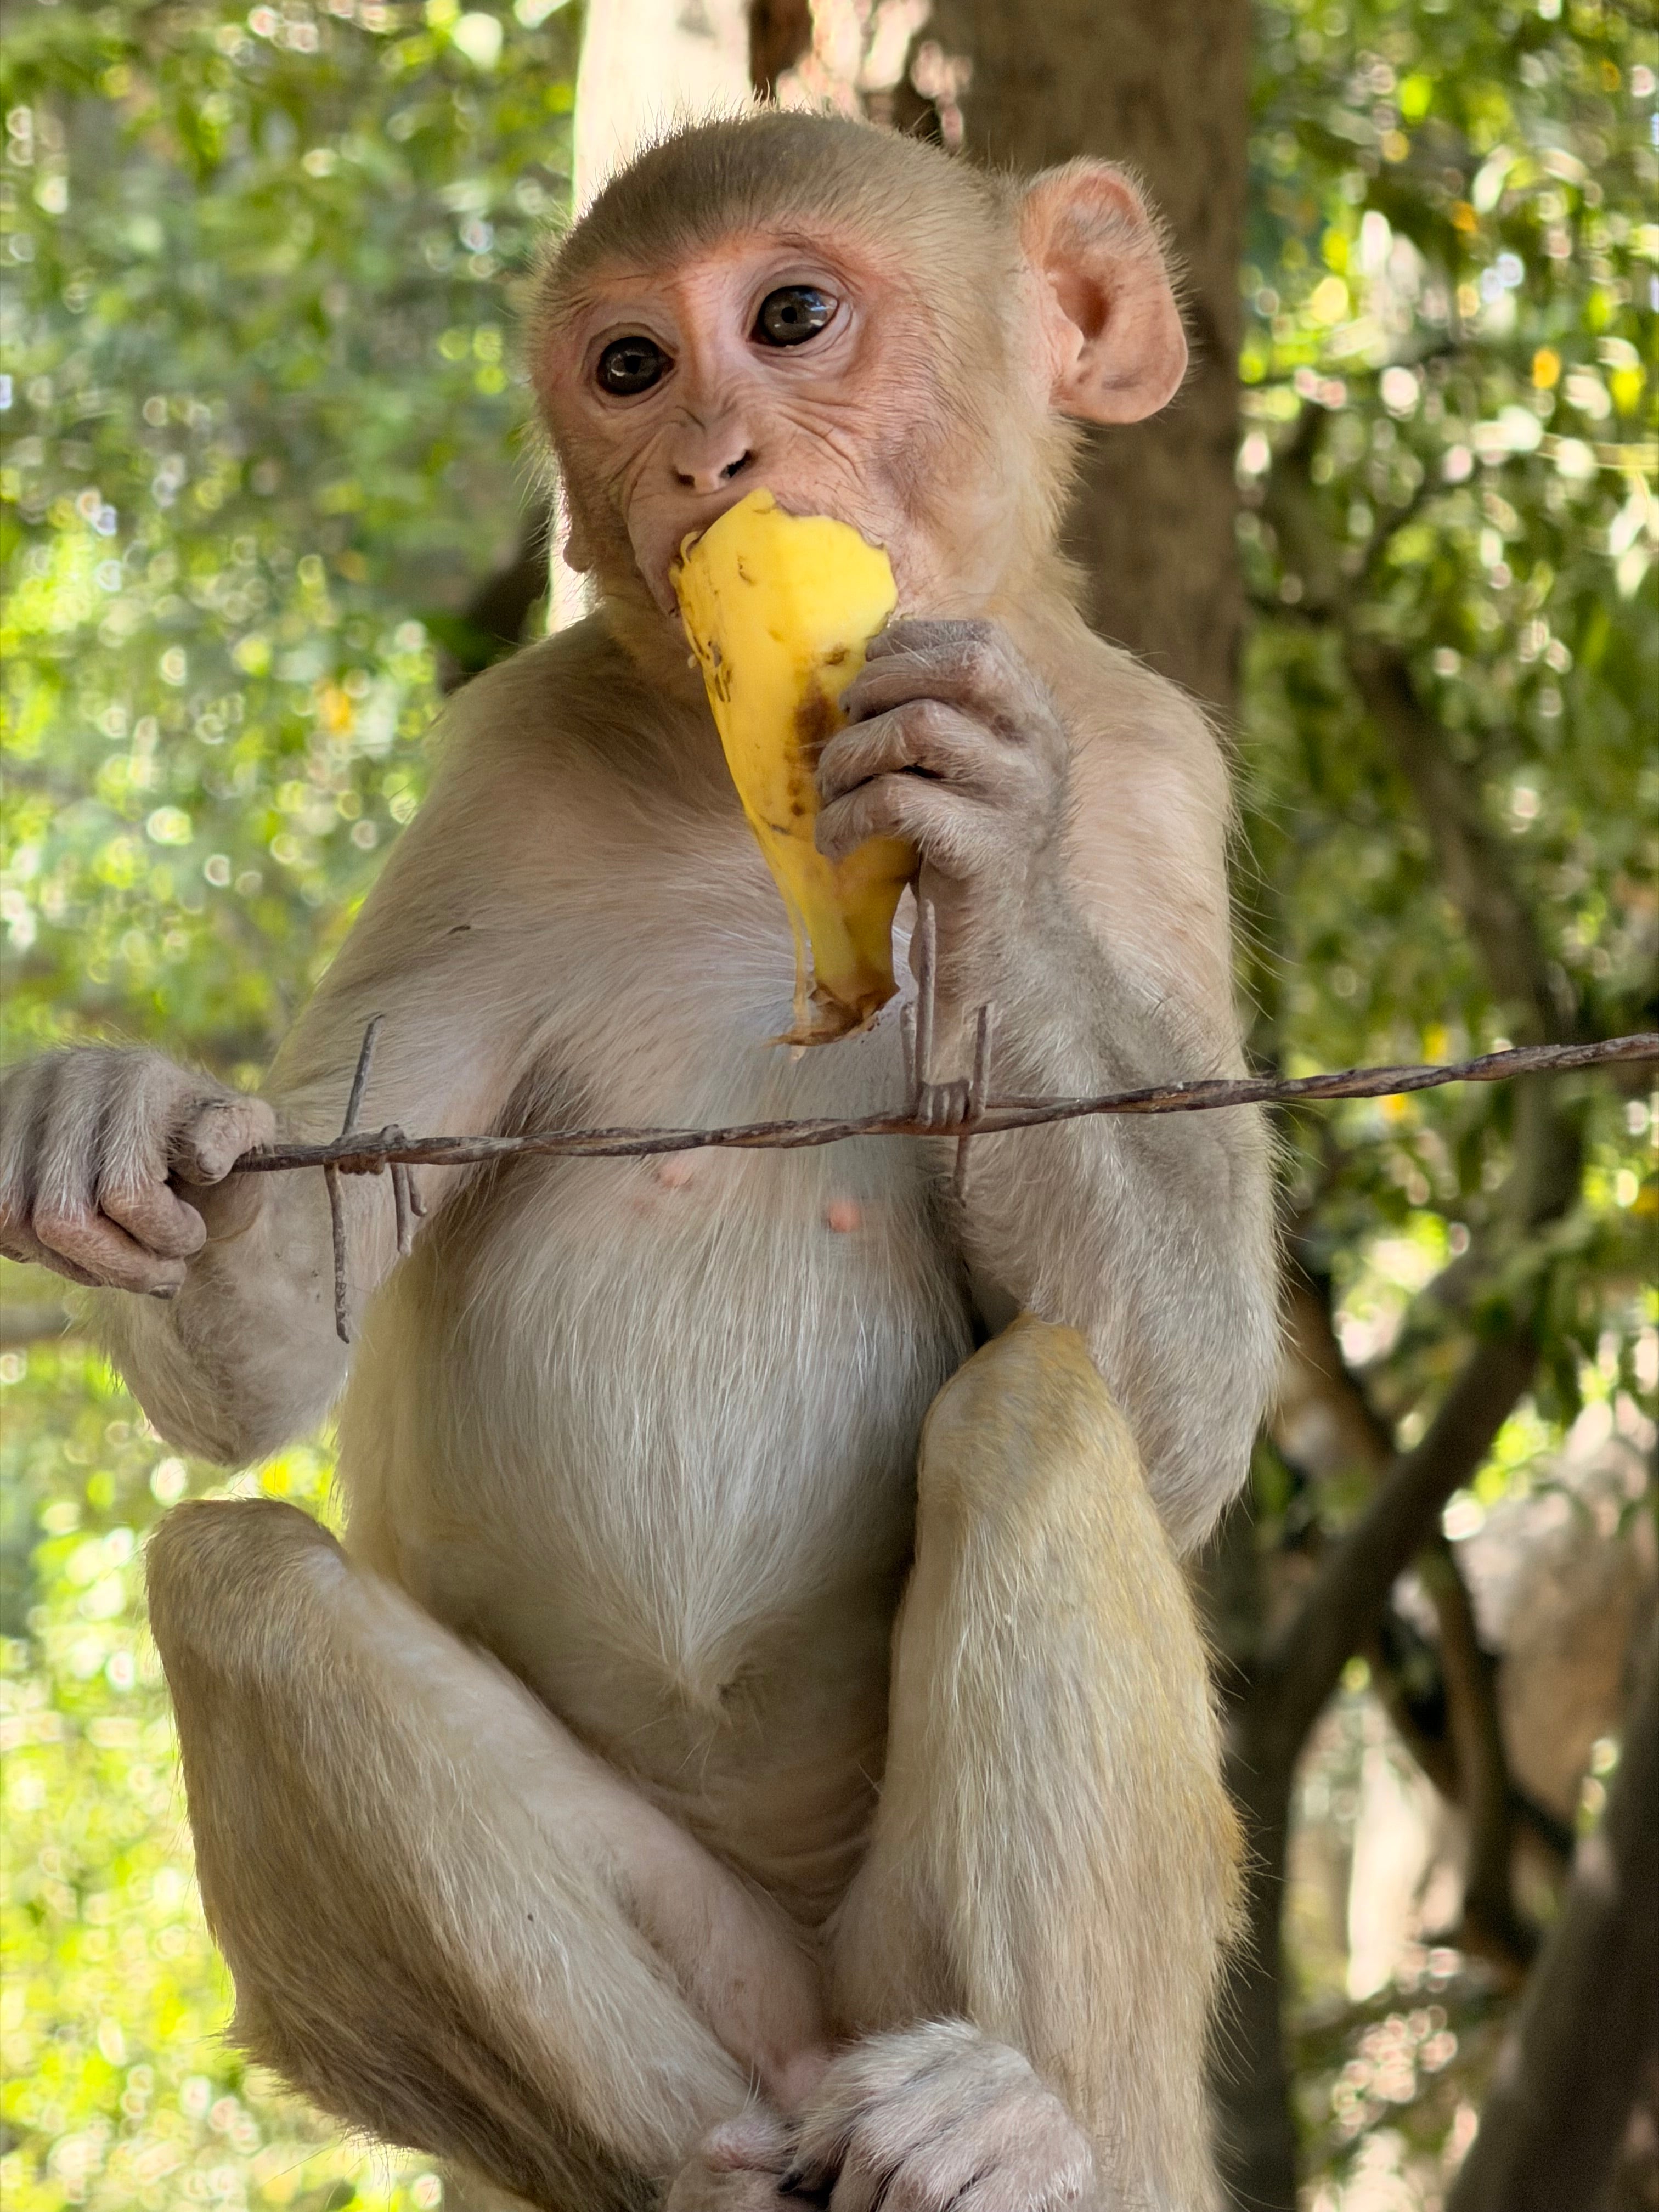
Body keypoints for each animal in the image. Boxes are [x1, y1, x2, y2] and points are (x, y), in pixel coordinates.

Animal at [0, 114, 1277, 2212]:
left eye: (791, 317)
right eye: (627, 367)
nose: (709, 459)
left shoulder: (1158, 778)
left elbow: (1184, 1432)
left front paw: (986, 840)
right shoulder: (495, 785)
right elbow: (269, 1344)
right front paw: (113, 1124)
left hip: (943, 1988)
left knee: (1039, 1411)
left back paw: (1019, 2126)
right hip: (728, 1993)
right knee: (244, 1587)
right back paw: (690, 2162)